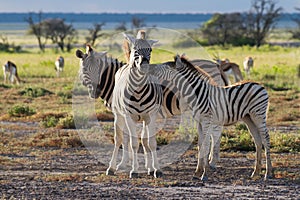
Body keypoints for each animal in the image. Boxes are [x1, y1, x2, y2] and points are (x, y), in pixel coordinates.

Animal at [145, 54, 274, 181]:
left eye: (164, 67)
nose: (148, 68)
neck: (197, 93)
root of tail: (259, 85)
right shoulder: (199, 122)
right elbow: (200, 145)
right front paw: (198, 172)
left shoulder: (206, 120)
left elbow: (206, 145)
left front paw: (204, 174)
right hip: (249, 118)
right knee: (258, 141)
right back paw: (256, 172)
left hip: (258, 115)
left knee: (266, 139)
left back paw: (268, 173)